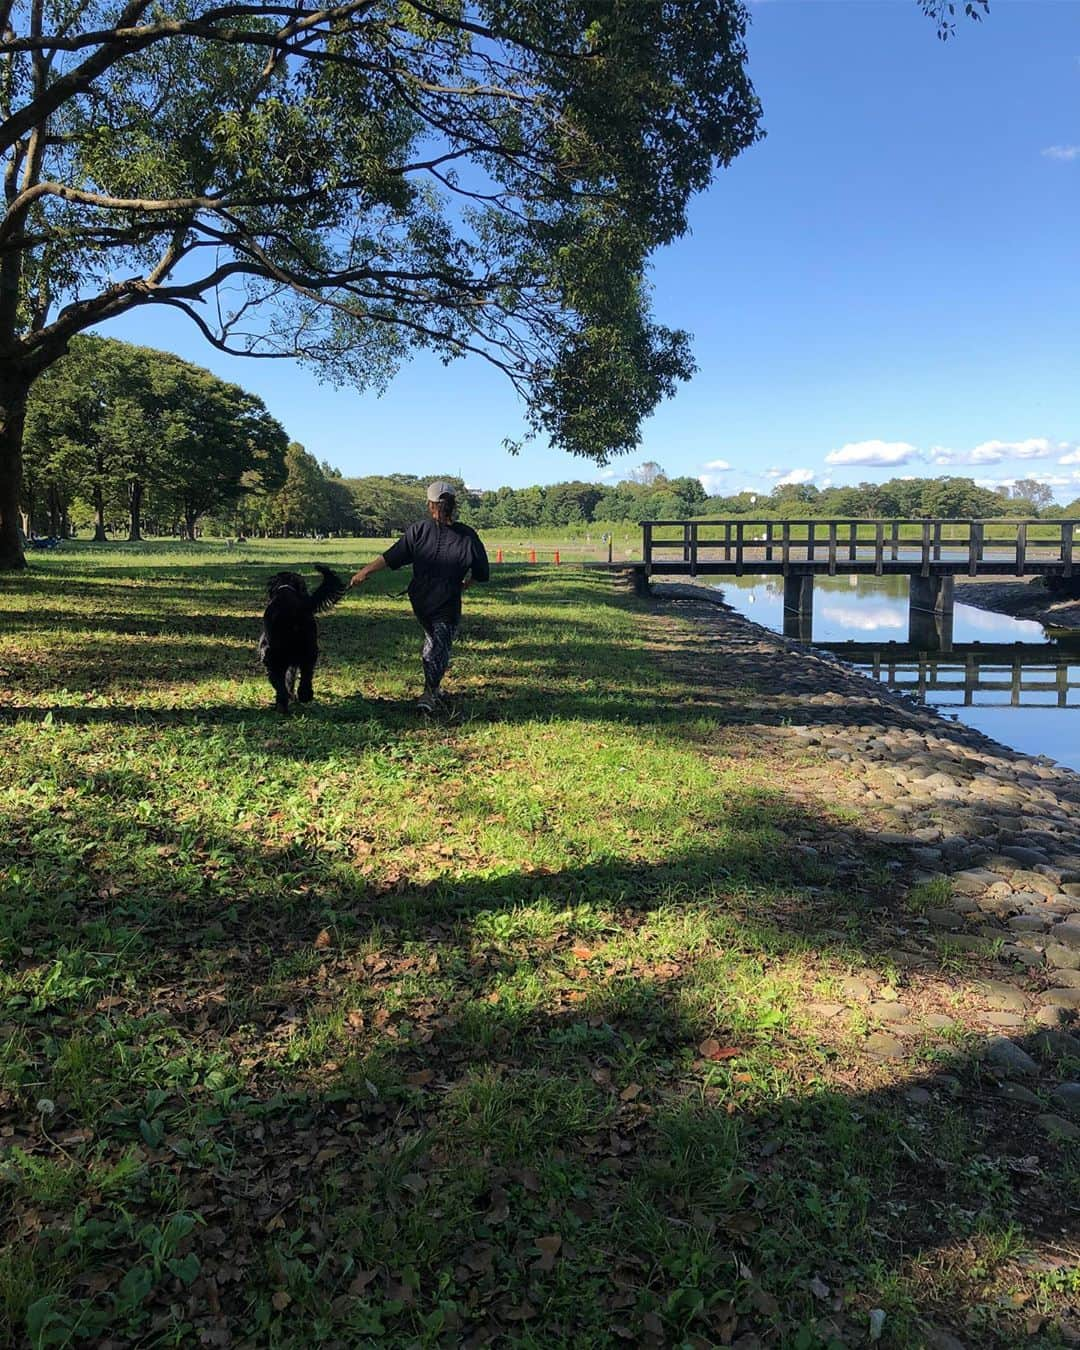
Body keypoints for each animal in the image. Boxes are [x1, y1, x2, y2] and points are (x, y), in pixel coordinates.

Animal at [257, 561, 345, 712]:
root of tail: (293, 612)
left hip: (272, 657)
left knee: (280, 684)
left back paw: (282, 705)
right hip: (309, 651)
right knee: (306, 675)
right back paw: (304, 695)